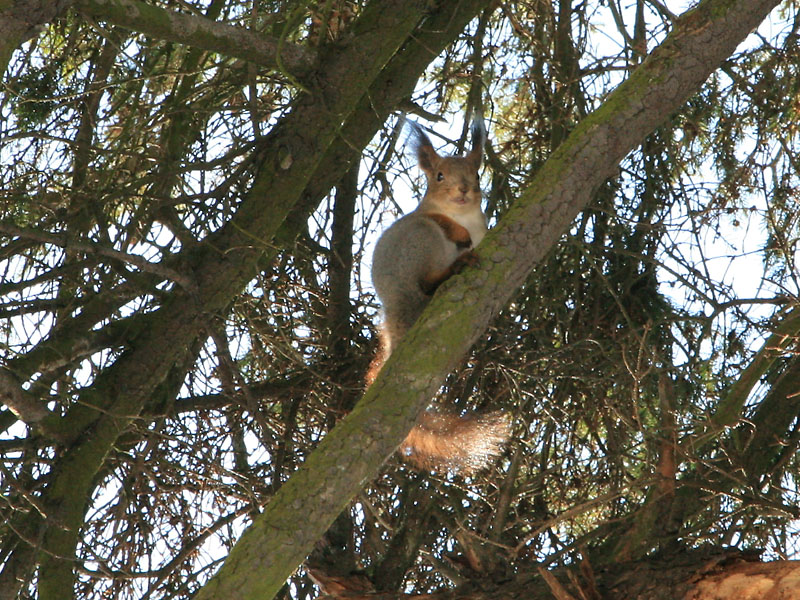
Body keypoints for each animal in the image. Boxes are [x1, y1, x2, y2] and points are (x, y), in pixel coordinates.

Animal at [370, 118, 510, 474]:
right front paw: (460, 234)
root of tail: (397, 305)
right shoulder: (428, 217)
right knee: (427, 279)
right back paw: (453, 266)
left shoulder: (484, 233)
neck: (465, 218)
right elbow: (443, 221)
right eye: (439, 176)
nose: (463, 189)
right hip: (420, 242)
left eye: (476, 173)